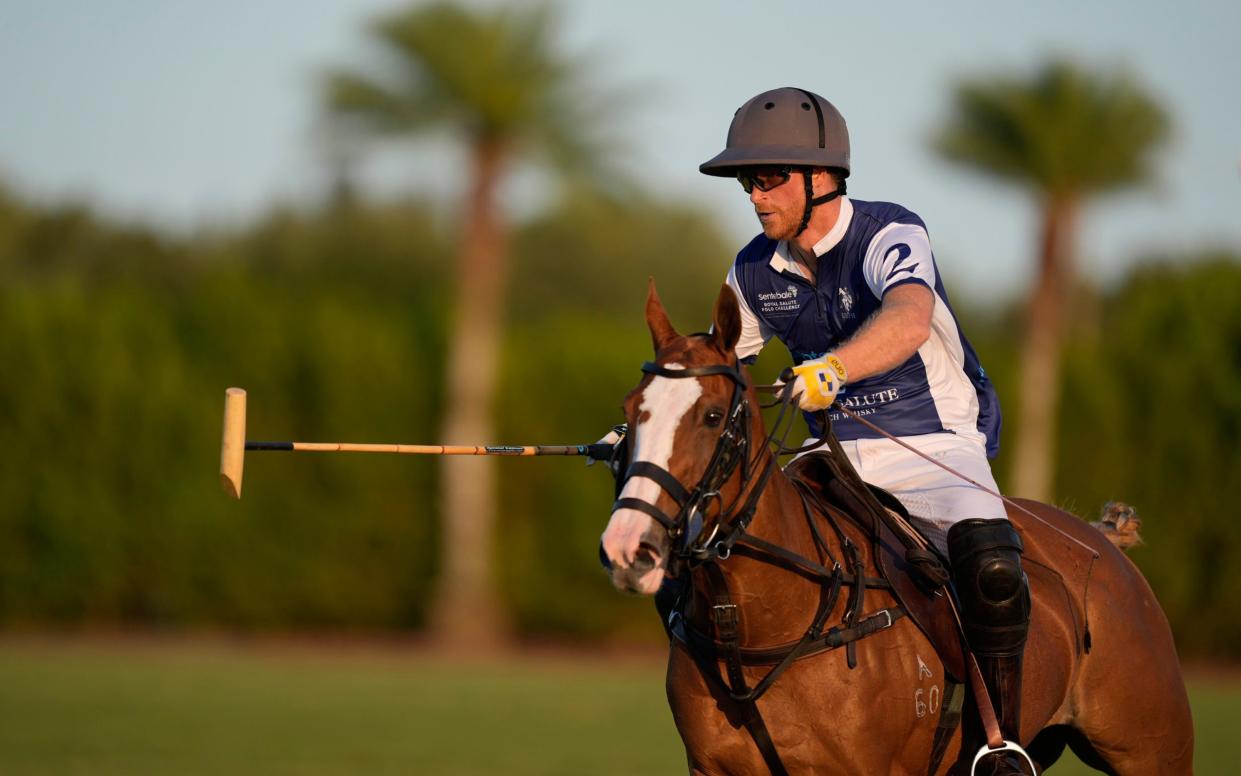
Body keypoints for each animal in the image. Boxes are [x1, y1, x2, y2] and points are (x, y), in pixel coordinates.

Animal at [600, 281, 1191, 769]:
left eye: (712, 416)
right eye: (630, 411)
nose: (628, 546)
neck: (763, 622)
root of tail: (1105, 543)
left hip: (1152, 747)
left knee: (995, 573)